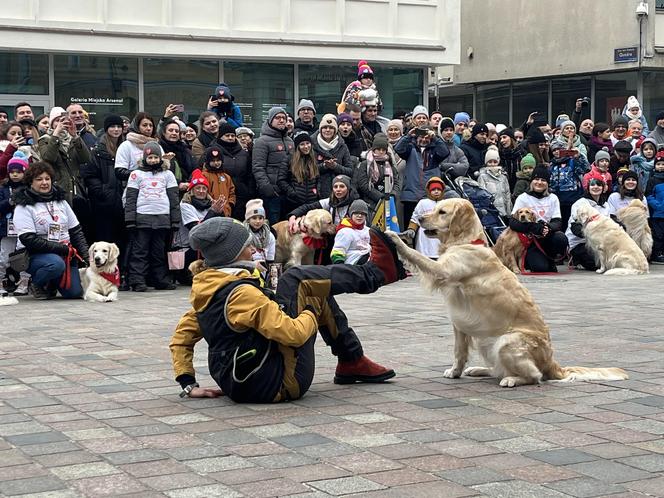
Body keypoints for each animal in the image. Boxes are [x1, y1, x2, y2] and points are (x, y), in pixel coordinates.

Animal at [384, 199, 628, 390]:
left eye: (442, 212)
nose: (420, 219)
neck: (466, 242)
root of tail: (553, 364)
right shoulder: (459, 321)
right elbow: (458, 351)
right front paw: (455, 372)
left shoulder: (442, 271)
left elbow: (416, 255)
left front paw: (394, 238)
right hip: (487, 340)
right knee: (499, 369)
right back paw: (478, 369)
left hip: (507, 341)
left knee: (534, 376)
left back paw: (512, 379)